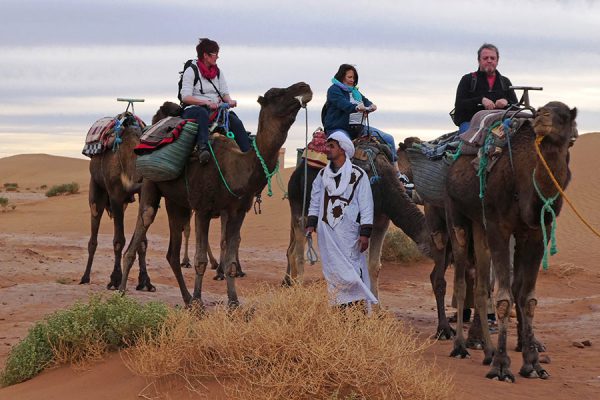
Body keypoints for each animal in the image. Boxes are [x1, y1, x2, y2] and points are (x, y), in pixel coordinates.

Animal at [118, 83, 314, 304]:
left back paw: (186, 298)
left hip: (177, 203)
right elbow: (200, 260)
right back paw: (122, 293)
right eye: (276, 94)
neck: (235, 168)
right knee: (141, 229)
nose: (304, 86)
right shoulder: (203, 210)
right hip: (150, 184)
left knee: (172, 253)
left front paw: (233, 302)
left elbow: (230, 260)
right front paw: (199, 301)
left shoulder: (237, 212)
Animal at [284, 137, 432, 300]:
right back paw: (297, 290)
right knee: (298, 251)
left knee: (293, 249)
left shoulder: (381, 221)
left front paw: (377, 305)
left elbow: (374, 265)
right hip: (298, 205)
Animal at [446, 101, 576, 382]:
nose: (541, 117)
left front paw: (533, 365)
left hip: (480, 224)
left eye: (564, 116)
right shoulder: (500, 227)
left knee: (481, 287)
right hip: (456, 215)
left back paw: (488, 351)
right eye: (543, 109)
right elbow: (504, 297)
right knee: (461, 282)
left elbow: (527, 298)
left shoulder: (538, 232)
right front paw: (502, 367)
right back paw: (460, 347)